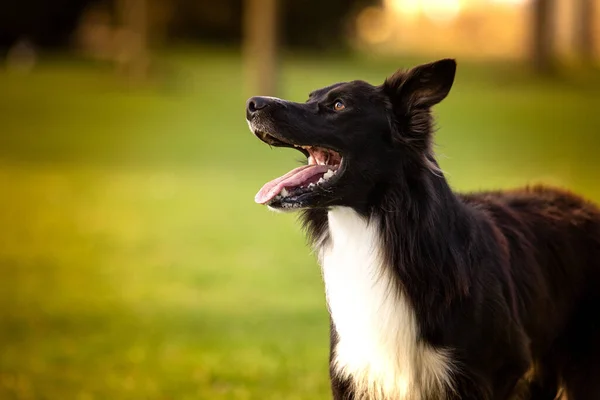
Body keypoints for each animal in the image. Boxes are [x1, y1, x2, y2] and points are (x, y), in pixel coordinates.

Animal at [244, 59, 600, 400]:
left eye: (339, 105)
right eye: (310, 98)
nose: (251, 103)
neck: (375, 227)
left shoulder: (496, 369)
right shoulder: (353, 373)